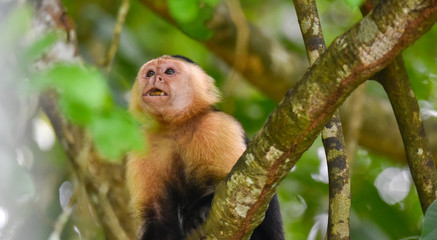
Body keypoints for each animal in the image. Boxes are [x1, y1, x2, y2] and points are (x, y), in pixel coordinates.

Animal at [126, 55, 284, 239]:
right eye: (150, 72)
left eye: (169, 71)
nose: (155, 77)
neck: (176, 127)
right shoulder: (143, 144)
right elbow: (158, 216)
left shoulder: (217, 125)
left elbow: (236, 192)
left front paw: (198, 211)